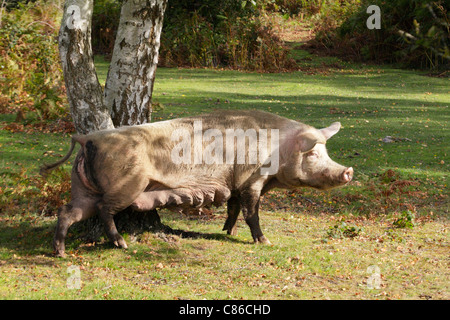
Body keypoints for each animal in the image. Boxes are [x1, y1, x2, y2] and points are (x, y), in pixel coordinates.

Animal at [40, 110, 352, 258]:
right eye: (312, 153)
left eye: (325, 151)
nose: (348, 171)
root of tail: (87, 138)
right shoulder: (251, 180)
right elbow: (251, 212)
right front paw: (264, 241)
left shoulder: (234, 182)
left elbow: (233, 208)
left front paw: (227, 232)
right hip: (128, 185)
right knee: (106, 209)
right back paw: (122, 245)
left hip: (84, 189)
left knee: (68, 211)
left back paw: (60, 253)